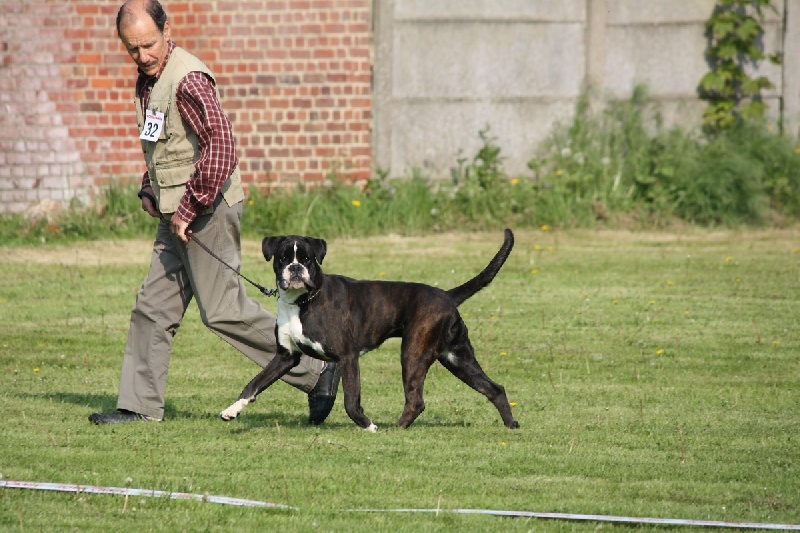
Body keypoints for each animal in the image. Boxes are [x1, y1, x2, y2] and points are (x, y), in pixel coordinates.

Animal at [220, 229, 520, 432]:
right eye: (283, 259)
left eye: (308, 259)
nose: (295, 268)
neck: (303, 301)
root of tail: (446, 295)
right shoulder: (285, 357)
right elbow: (254, 383)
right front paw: (232, 410)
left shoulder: (347, 357)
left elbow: (351, 400)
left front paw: (368, 426)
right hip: (457, 358)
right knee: (494, 389)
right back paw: (511, 424)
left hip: (413, 353)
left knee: (416, 400)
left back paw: (394, 429)